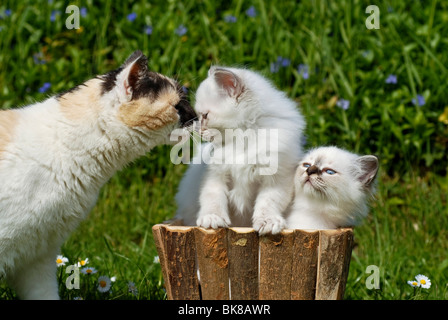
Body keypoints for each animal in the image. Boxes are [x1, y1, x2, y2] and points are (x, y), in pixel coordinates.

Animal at [175, 65, 304, 235]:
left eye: (205, 116)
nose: (198, 130)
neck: (242, 140)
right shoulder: (215, 174)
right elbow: (212, 197)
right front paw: (213, 218)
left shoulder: (277, 178)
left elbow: (268, 202)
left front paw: (267, 222)